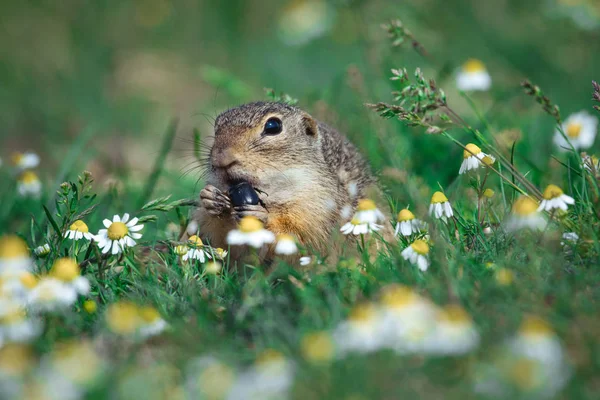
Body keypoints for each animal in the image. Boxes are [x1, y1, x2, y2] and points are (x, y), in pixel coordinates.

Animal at [190, 101, 392, 260]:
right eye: (216, 126)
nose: (221, 158)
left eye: (273, 126)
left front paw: (262, 216)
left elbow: (300, 237)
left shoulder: (318, 210)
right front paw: (209, 198)